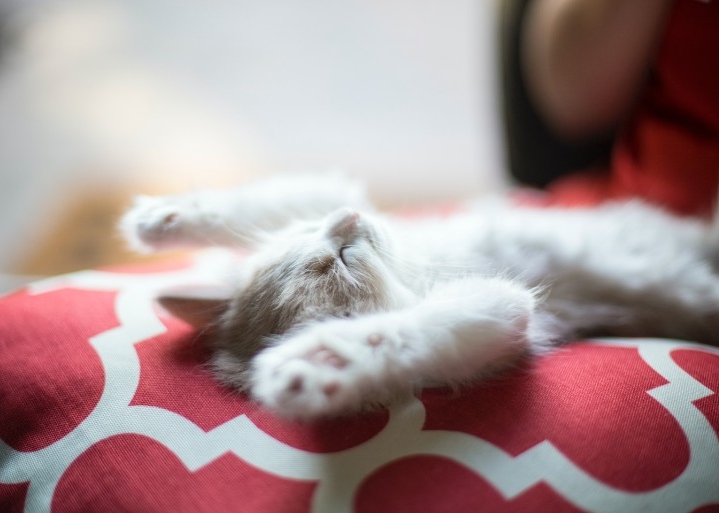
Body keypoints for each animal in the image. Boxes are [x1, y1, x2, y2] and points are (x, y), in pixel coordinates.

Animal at [121, 174, 719, 418]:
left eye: (319, 235)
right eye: (344, 257)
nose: (348, 220)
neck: (414, 267)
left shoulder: (335, 198)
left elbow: (278, 198)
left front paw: (161, 217)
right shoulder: (505, 308)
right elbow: (398, 333)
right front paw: (321, 362)